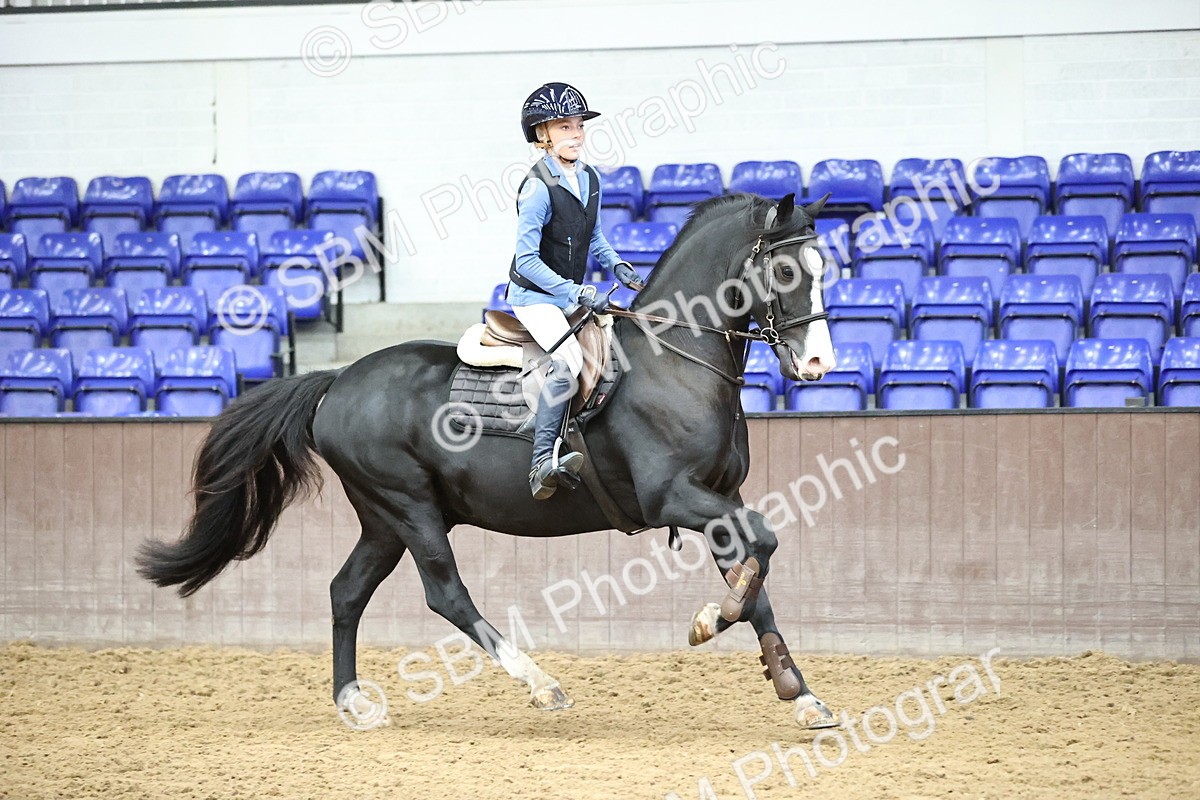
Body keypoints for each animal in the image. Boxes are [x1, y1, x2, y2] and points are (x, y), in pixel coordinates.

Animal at [136, 190, 841, 729]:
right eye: (786, 271)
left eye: (823, 267)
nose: (817, 363)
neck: (676, 358)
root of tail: (336, 381)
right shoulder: (675, 496)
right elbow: (764, 549)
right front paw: (706, 623)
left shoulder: (719, 501)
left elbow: (756, 578)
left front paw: (799, 693)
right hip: (409, 508)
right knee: (446, 594)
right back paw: (540, 683)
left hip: (384, 520)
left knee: (346, 591)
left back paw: (352, 702)